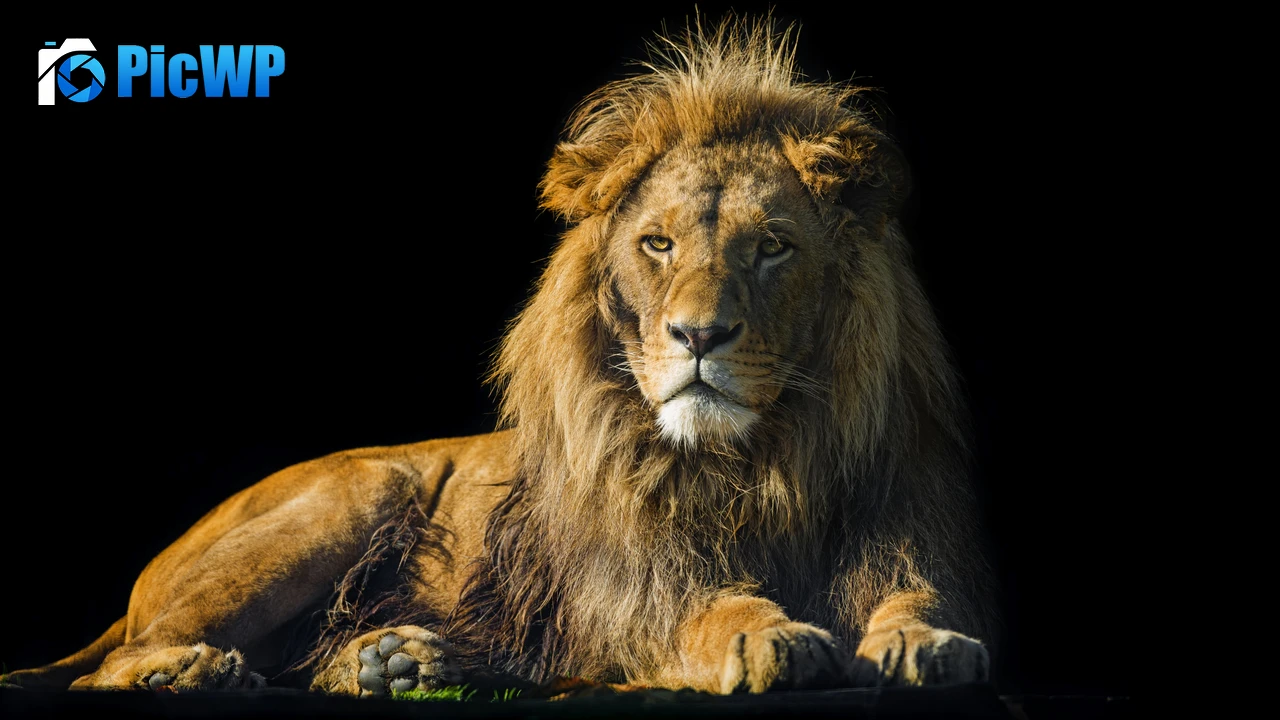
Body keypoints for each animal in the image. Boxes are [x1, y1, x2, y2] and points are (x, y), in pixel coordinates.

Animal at [5, 17, 996, 695]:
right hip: (353, 496)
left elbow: (921, 601)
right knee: (104, 670)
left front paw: (926, 645)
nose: (698, 336)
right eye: (659, 244)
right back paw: (192, 672)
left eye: (773, 248)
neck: (759, 459)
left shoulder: (904, 534)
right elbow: (704, 608)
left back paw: (391, 663)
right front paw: (765, 635)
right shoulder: (629, 592)